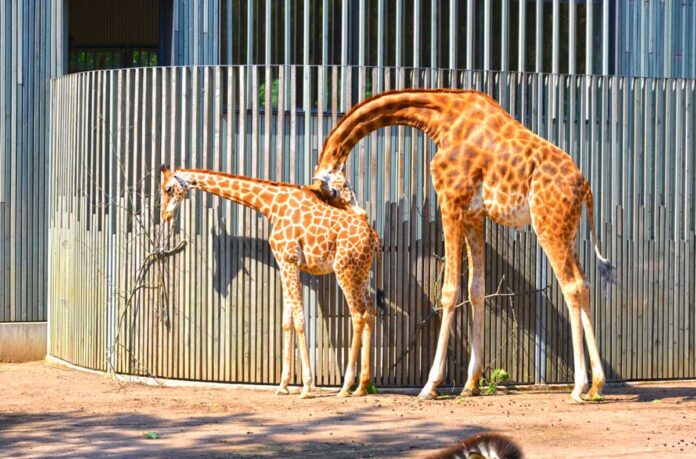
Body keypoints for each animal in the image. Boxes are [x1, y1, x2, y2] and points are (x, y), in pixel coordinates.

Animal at [160, 166, 383, 398]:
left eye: (168, 188)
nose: (165, 215)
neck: (272, 206)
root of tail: (374, 237)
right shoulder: (285, 265)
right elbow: (287, 322)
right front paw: (283, 385)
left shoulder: (289, 260)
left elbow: (300, 320)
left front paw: (306, 387)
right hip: (361, 272)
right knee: (370, 312)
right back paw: (362, 386)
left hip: (345, 271)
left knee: (357, 316)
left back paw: (346, 387)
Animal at [309, 89, 615, 403]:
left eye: (331, 194)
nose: (359, 217)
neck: (442, 118)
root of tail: (584, 185)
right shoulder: (473, 214)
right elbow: (476, 289)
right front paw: (471, 384)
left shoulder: (450, 201)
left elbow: (449, 291)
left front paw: (430, 386)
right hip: (567, 230)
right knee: (584, 283)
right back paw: (596, 385)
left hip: (548, 225)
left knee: (571, 286)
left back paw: (578, 387)